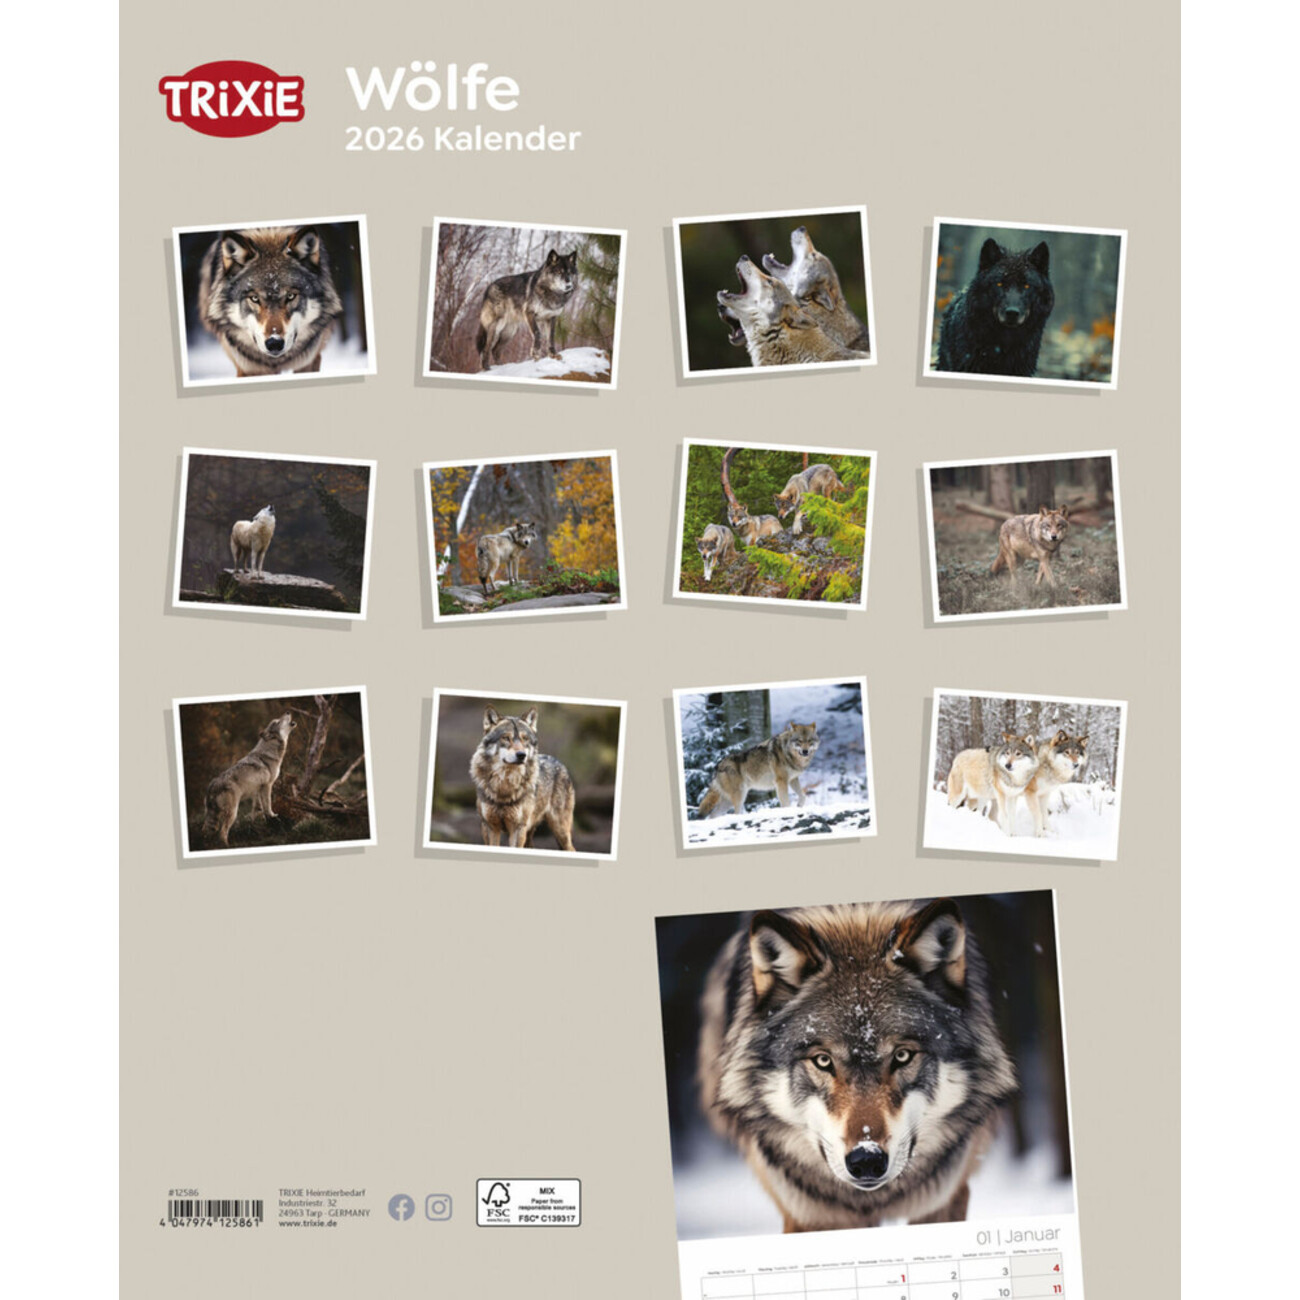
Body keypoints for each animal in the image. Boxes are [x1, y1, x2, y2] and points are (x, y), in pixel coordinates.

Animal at [201, 712, 297, 848]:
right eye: (277, 721)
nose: (288, 712)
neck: (270, 751)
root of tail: (212, 786)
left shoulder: (257, 789)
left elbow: (257, 809)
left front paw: (259, 822)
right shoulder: (268, 786)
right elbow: (268, 804)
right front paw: (273, 815)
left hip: (213, 815)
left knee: (205, 830)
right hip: (232, 813)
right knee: (222, 833)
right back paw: (227, 846)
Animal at [469, 706, 576, 850]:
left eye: (525, 739)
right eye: (506, 738)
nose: (521, 755)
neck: (504, 785)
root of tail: (559, 762)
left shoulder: (518, 829)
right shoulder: (489, 827)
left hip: (560, 832)